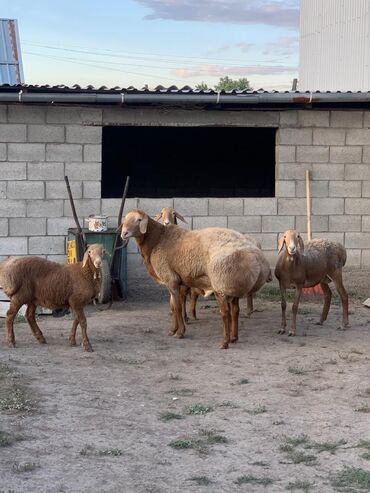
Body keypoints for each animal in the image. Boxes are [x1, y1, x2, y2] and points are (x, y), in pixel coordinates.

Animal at [120, 209, 270, 348]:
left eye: (139, 220)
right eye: (125, 219)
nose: (124, 234)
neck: (157, 239)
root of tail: (258, 257)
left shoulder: (171, 279)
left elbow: (177, 307)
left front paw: (180, 332)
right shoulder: (174, 281)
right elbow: (172, 306)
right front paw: (172, 330)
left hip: (221, 284)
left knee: (225, 313)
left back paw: (224, 342)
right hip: (232, 284)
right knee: (235, 311)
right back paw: (234, 338)